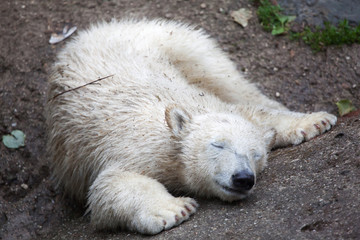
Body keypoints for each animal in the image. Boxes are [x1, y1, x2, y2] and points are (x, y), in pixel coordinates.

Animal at [46, 19, 336, 234]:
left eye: (256, 155)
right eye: (217, 145)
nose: (243, 178)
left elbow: (251, 112)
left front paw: (315, 121)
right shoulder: (134, 146)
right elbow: (111, 185)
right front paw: (174, 210)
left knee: (229, 80)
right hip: (166, 39)